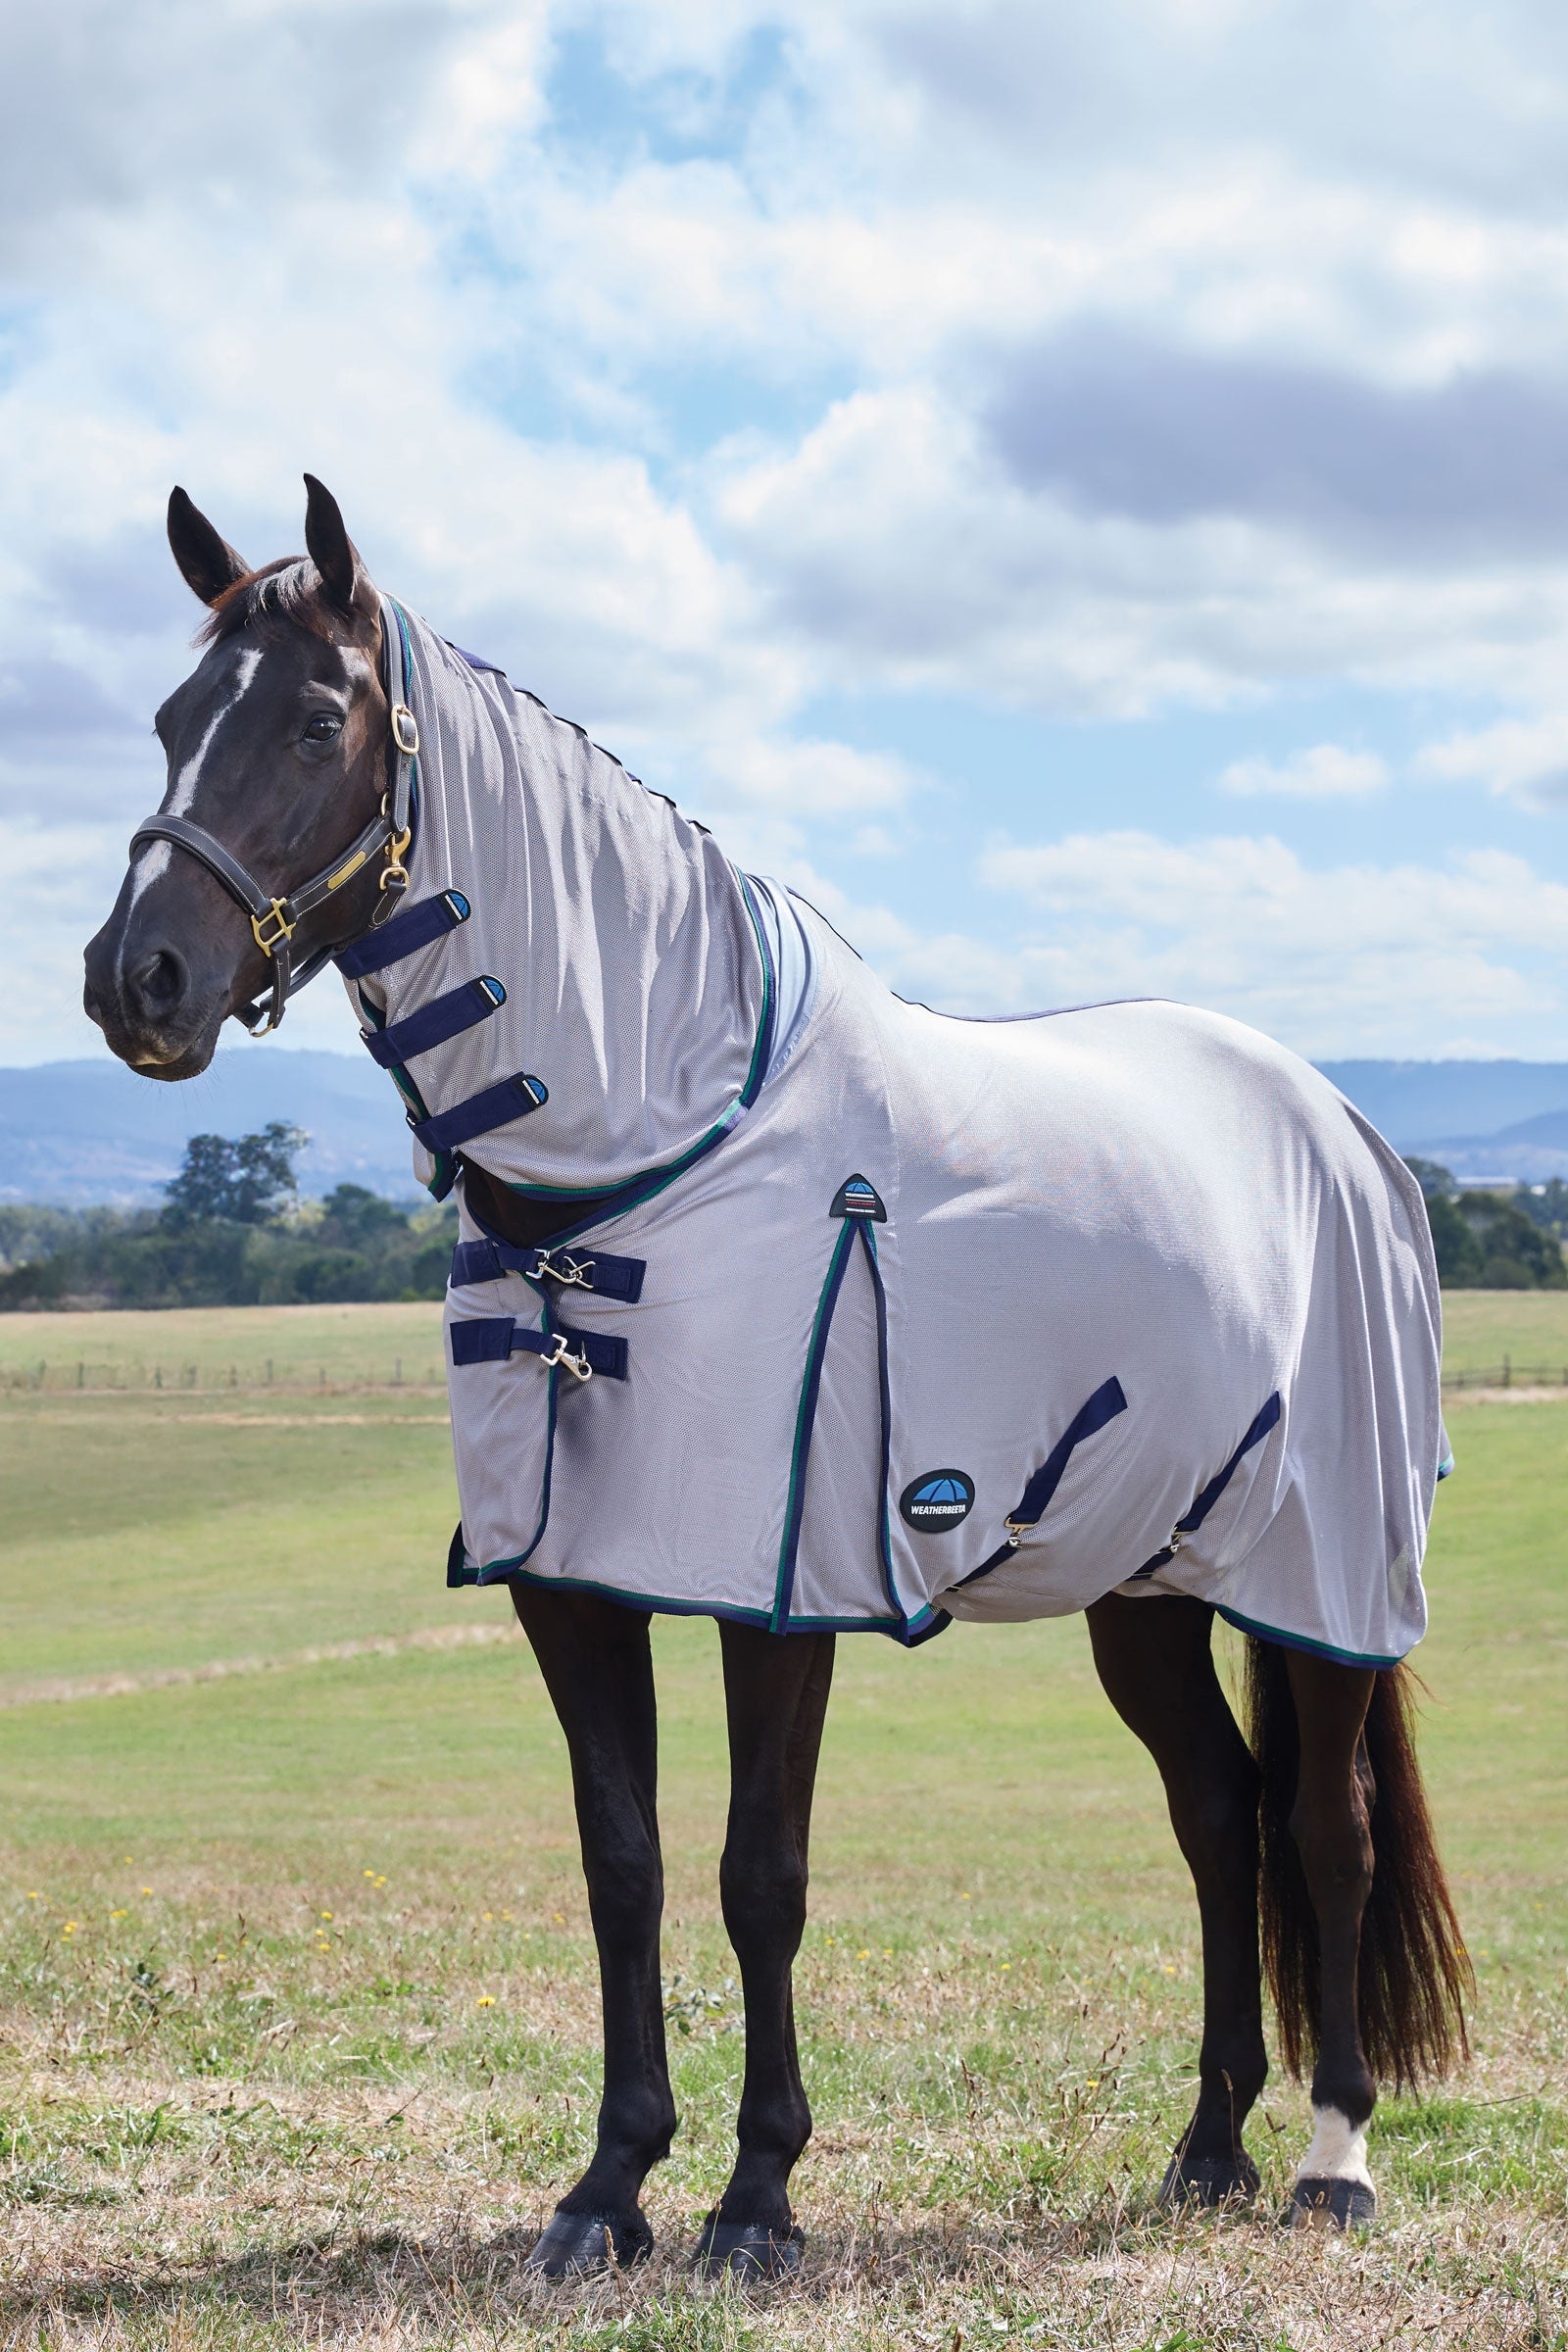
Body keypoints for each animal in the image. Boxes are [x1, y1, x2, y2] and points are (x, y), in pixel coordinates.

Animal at [83, 477, 1470, 2278]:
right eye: (173, 720)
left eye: (319, 720)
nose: (137, 982)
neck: (651, 1142)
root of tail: (1346, 1131)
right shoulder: (573, 1582)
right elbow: (624, 1865)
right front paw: (607, 2189)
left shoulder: (779, 1584)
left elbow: (762, 1874)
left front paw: (757, 2199)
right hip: (1147, 1582)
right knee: (1219, 1813)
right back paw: (1208, 2146)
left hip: (1322, 1574)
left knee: (1325, 1828)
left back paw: (1331, 2159)